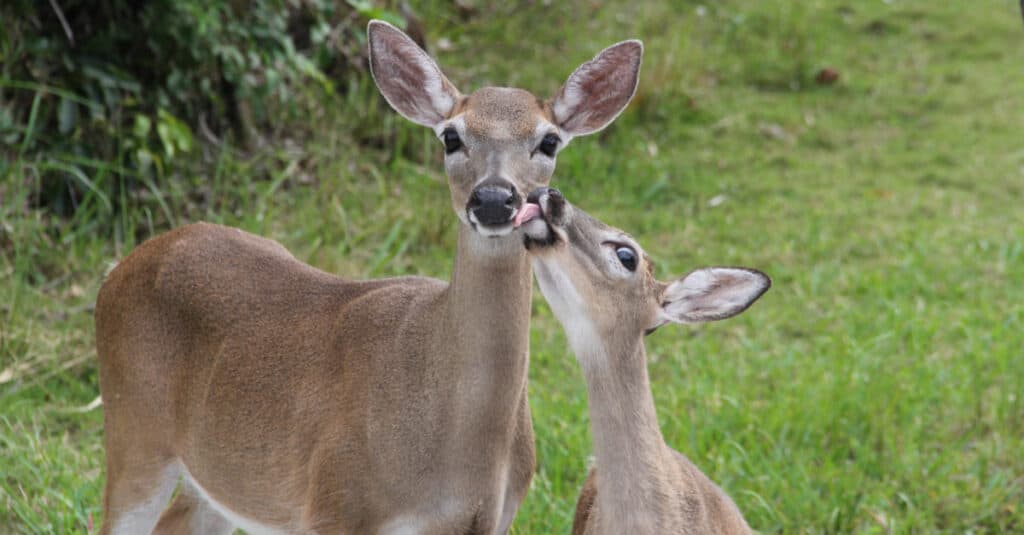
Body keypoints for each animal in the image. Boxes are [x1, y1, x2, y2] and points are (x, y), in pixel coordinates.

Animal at [94, 19, 638, 532]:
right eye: (451, 136)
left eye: (549, 141)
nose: (493, 199)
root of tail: (123, 267)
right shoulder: (334, 503)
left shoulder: (493, 519)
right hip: (133, 427)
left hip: (224, 475)